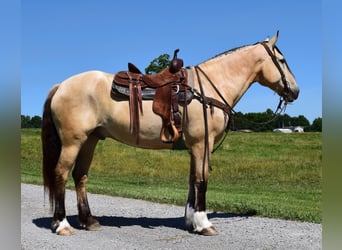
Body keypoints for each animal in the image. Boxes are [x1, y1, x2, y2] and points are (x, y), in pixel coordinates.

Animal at [42, 31, 300, 236]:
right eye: (282, 60)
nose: (295, 91)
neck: (209, 88)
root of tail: (61, 85)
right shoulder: (202, 144)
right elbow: (202, 180)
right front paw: (204, 223)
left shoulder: (195, 147)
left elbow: (192, 180)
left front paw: (191, 220)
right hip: (73, 142)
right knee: (61, 174)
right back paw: (62, 224)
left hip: (90, 140)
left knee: (80, 176)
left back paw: (88, 221)